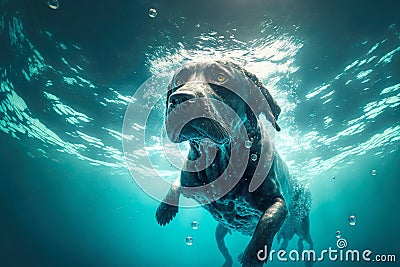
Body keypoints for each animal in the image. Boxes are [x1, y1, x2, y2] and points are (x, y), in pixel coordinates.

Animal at [155, 61, 312, 267]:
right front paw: (164, 210)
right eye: (179, 80)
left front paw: (253, 255)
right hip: (220, 230)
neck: (219, 160)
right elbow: (176, 183)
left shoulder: (278, 201)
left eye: (221, 77)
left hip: (303, 225)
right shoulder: (189, 180)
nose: (180, 98)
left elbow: (268, 221)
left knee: (307, 243)